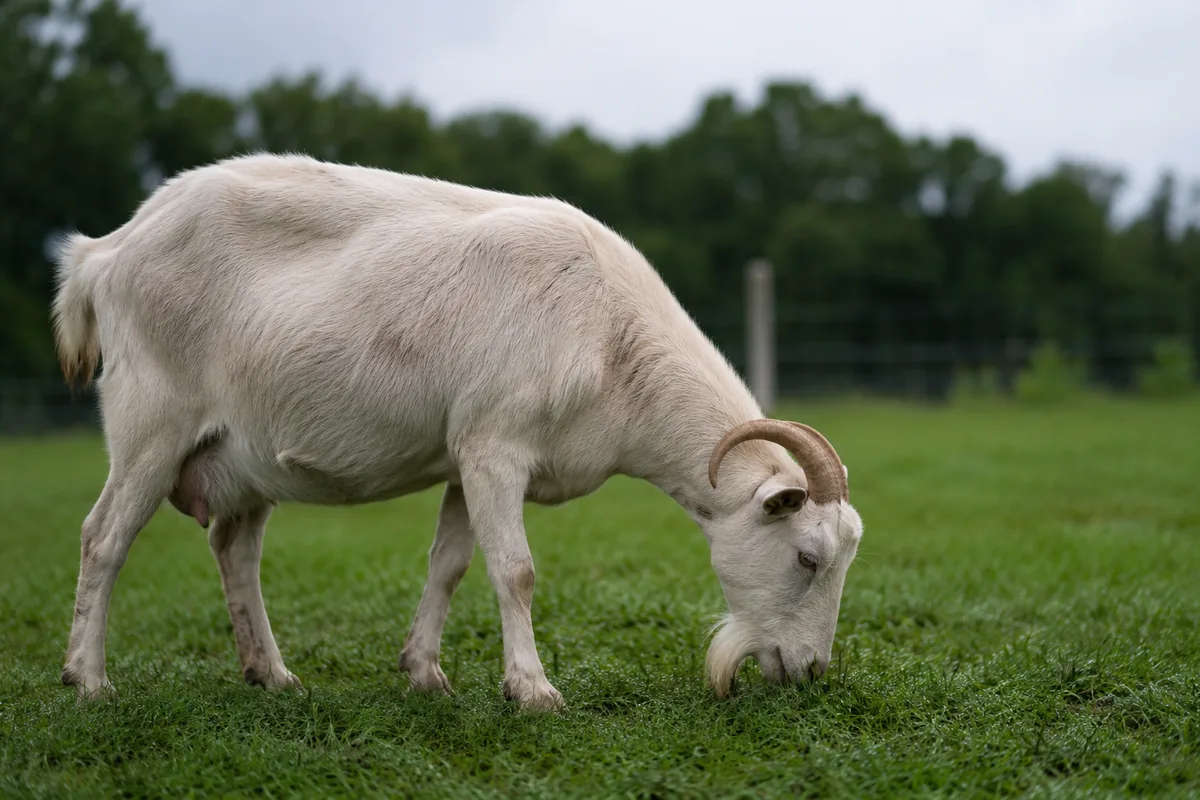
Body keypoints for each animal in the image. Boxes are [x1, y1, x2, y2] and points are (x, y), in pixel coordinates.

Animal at [51, 152, 863, 710]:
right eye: (807, 557)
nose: (811, 672)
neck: (611, 340)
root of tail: (105, 252)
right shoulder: (495, 447)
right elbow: (516, 570)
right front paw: (533, 691)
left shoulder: (463, 460)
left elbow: (450, 564)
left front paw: (424, 674)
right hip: (151, 421)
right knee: (102, 537)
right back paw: (88, 681)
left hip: (243, 455)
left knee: (234, 548)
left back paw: (272, 675)